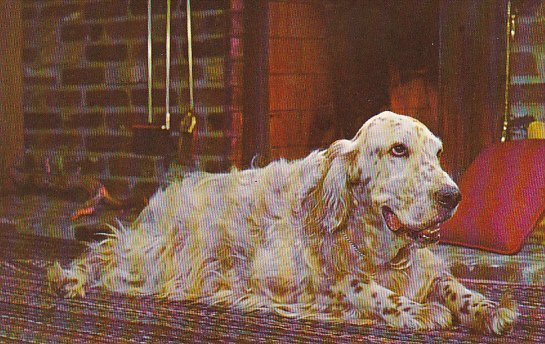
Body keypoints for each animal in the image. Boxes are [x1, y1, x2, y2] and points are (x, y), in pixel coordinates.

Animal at [50, 111, 516, 334]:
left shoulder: (424, 267)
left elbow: (454, 285)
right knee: (100, 252)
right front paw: (415, 310)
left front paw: (489, 309)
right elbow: (359, 286)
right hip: (155, 254)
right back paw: (69, 279)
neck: (365, 238)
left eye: (437, 153)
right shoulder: (285, 276)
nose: (453, 196)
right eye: (398, 150)